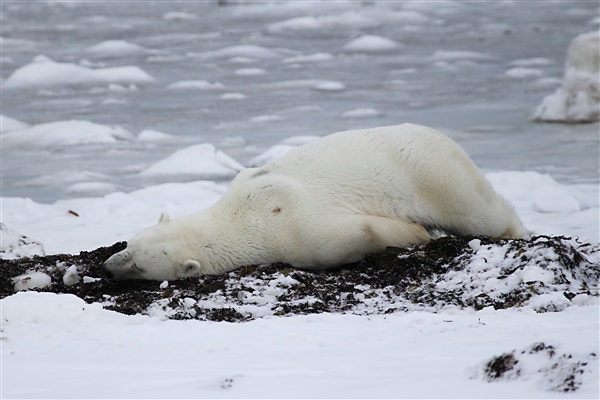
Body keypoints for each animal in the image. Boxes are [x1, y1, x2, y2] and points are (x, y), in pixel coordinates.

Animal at [103, 124, 528, 282]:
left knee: (481, 213)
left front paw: (414, 233)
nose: (106, 267)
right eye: (129, 244)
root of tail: (438, 135)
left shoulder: (292, 227)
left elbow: (356, 232)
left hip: (433, 173)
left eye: (139, 265)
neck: (240, 215)